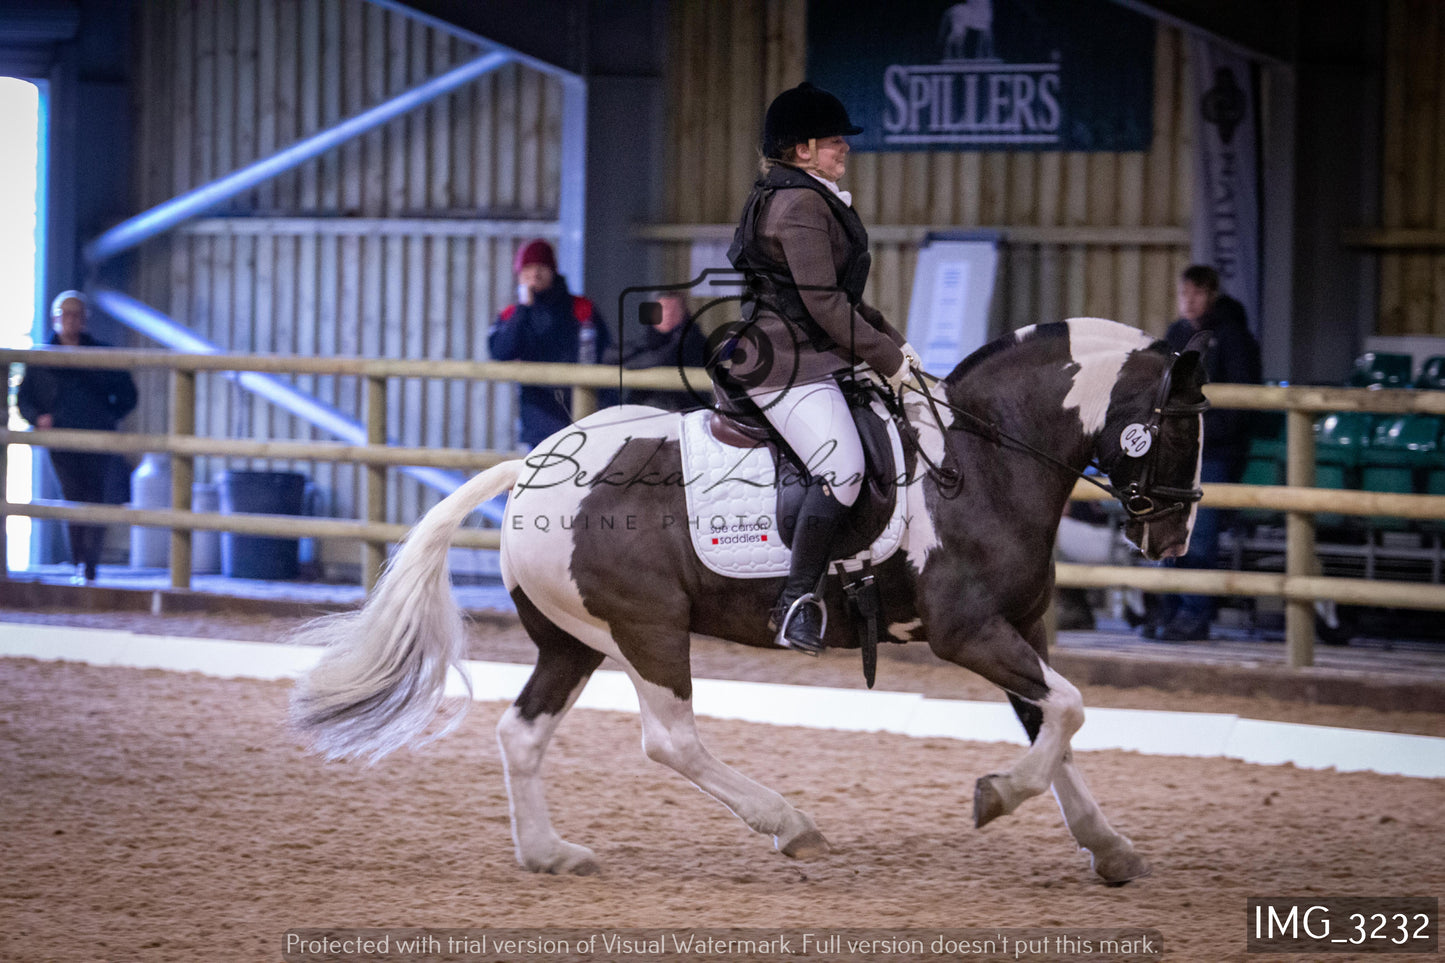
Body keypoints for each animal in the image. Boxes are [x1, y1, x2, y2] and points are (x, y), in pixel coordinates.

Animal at [290, 318, 1208, 879]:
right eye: (1177, 424)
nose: (1170, 541)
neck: (982, 459)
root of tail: (531, 468)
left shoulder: (1018, 626)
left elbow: (1053, 720)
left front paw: (1108, 846)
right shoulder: (966, 630)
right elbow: (1070, 709)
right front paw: (996, 797)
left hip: (573, 637)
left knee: (522, 733)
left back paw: (551, 853)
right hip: (647, 627)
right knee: (669, 739)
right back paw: (789, 823)